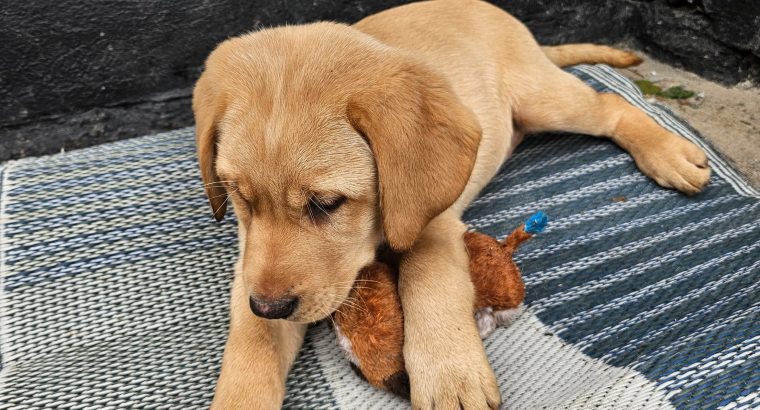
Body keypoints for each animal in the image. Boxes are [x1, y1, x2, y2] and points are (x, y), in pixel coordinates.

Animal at [193, 0, 708, 406]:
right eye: (237, 195)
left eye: (327, 203)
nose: (270, 306)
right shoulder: (252, 262)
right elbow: (251, 349)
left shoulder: (433, 221)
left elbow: (430, 282)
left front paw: (451, 375)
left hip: (544, 98)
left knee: (610, 105)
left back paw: (670, 153)